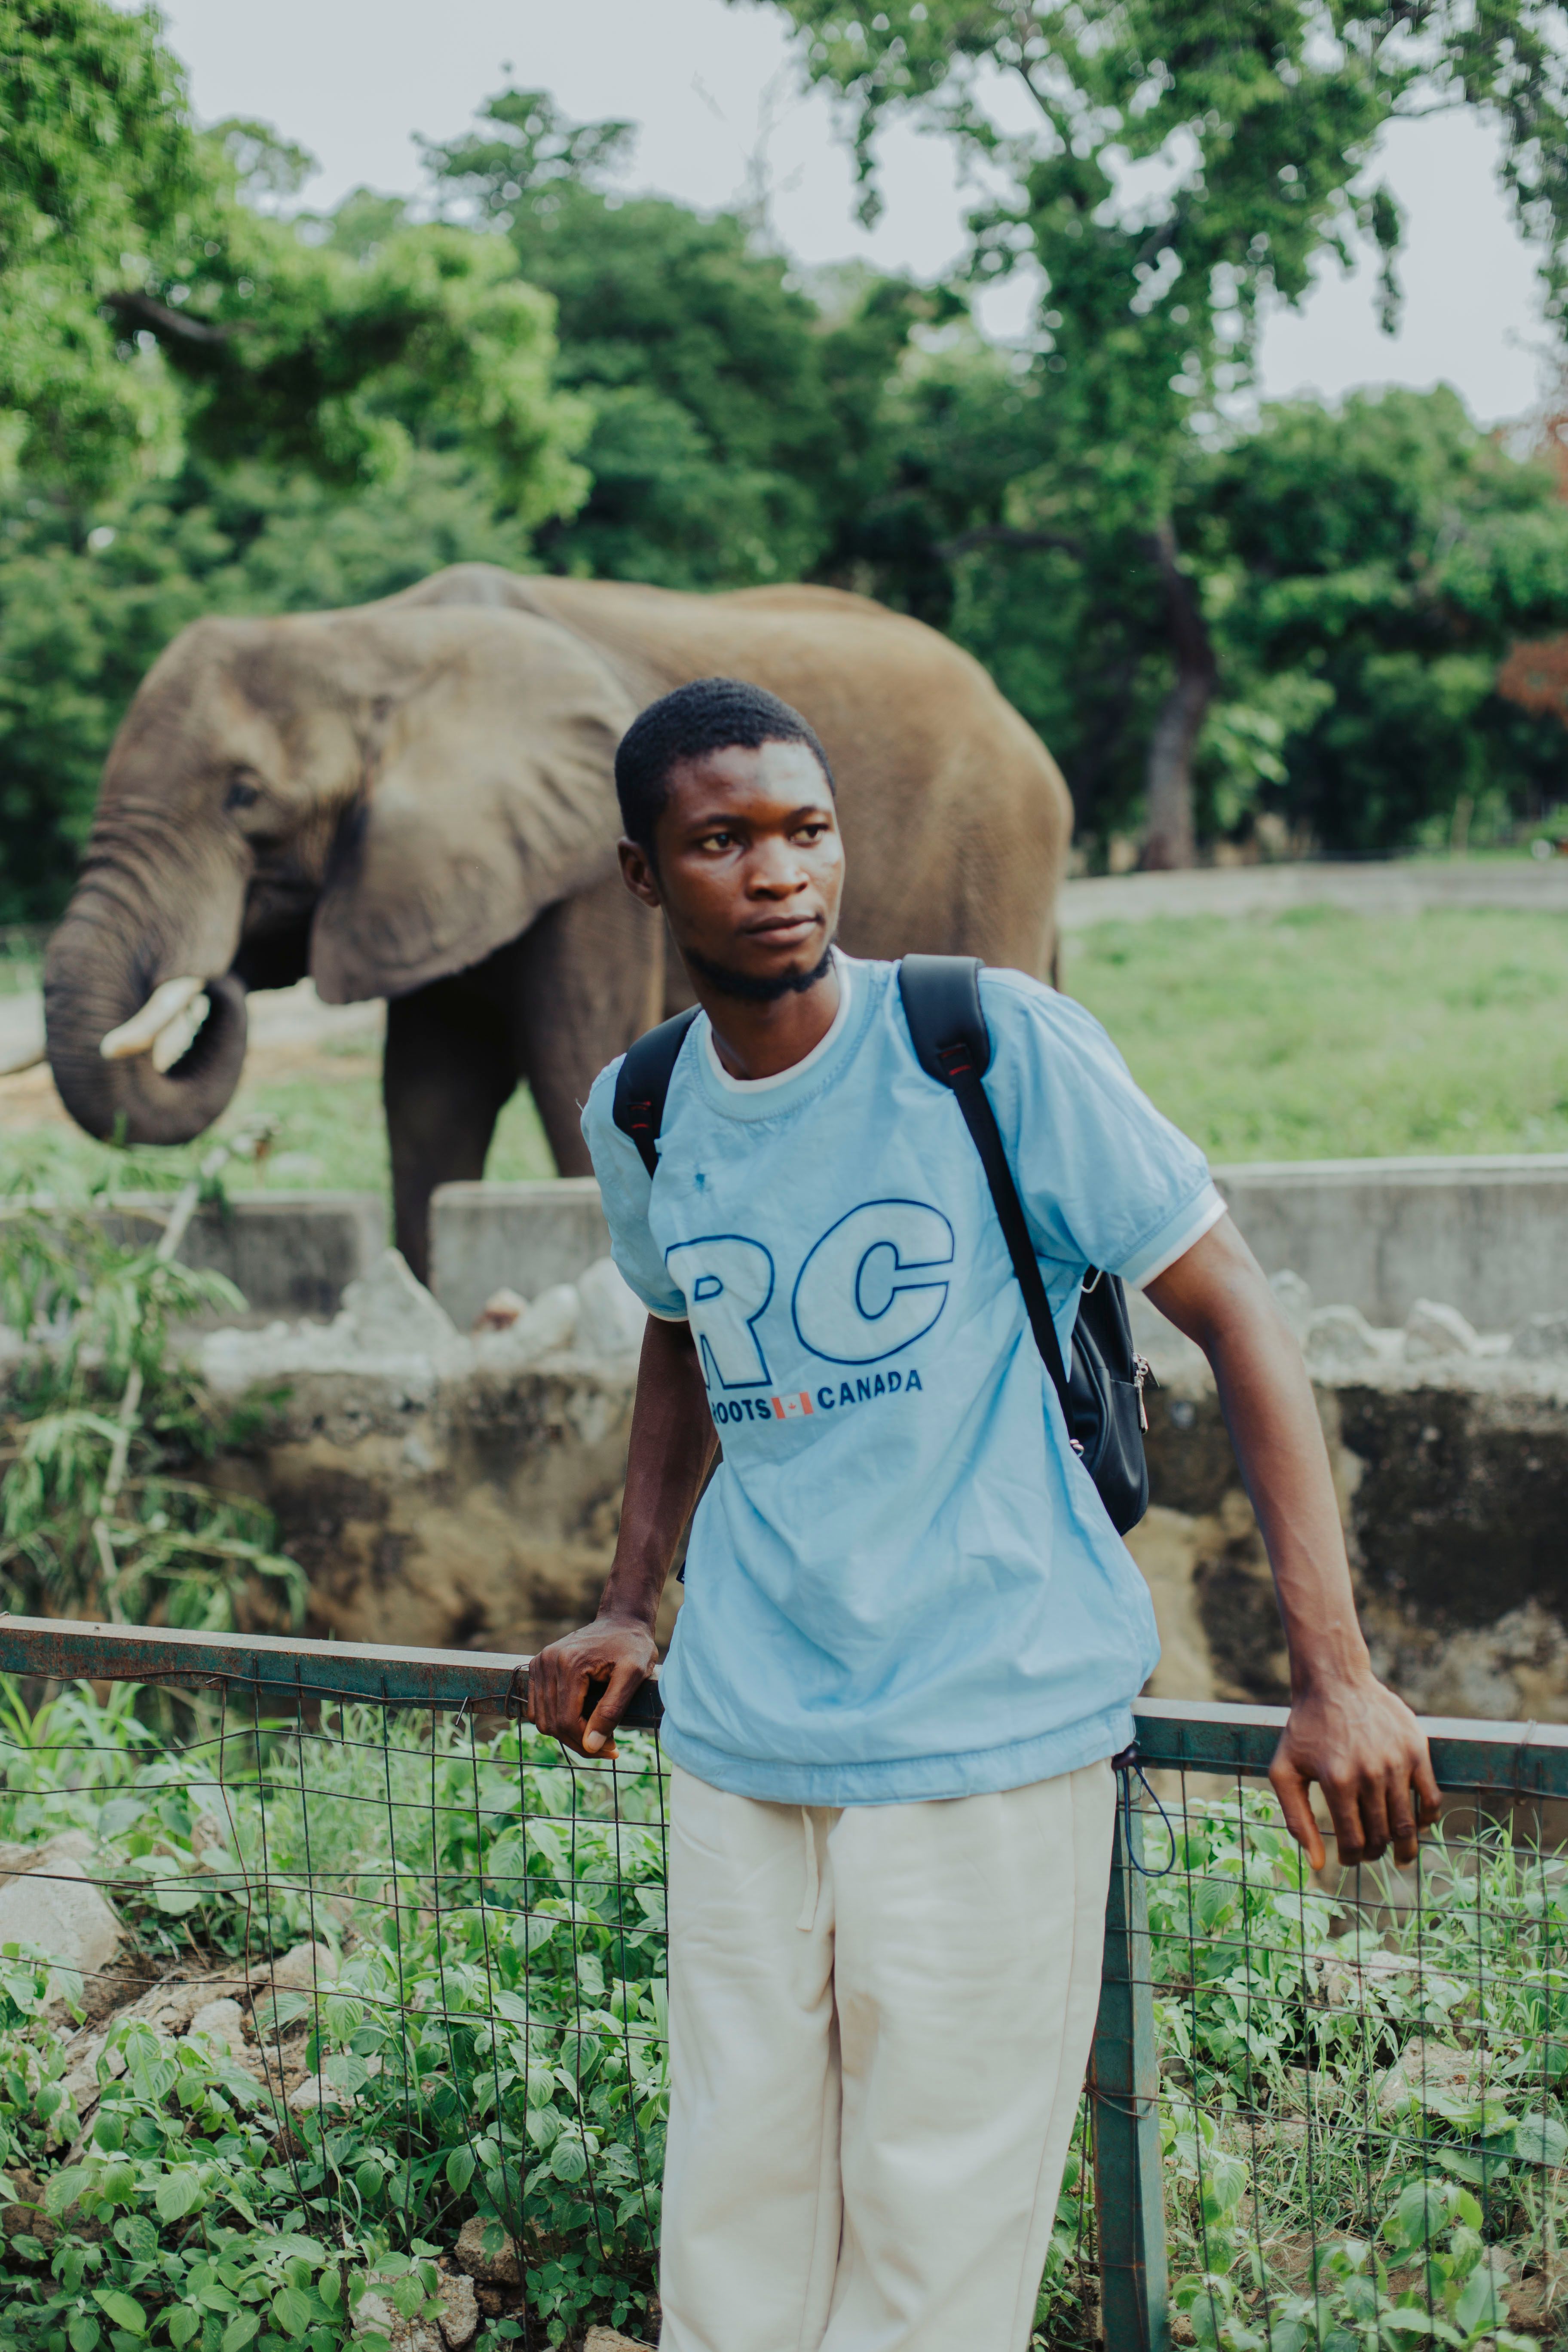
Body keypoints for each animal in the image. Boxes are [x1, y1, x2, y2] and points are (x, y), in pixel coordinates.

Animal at [45, 565, 1073, 1280]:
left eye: (244, 796)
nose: (219, 975)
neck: (370, 638)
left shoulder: (584, 875)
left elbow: (569, 1058)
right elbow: (429, 1096)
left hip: (997, 841)